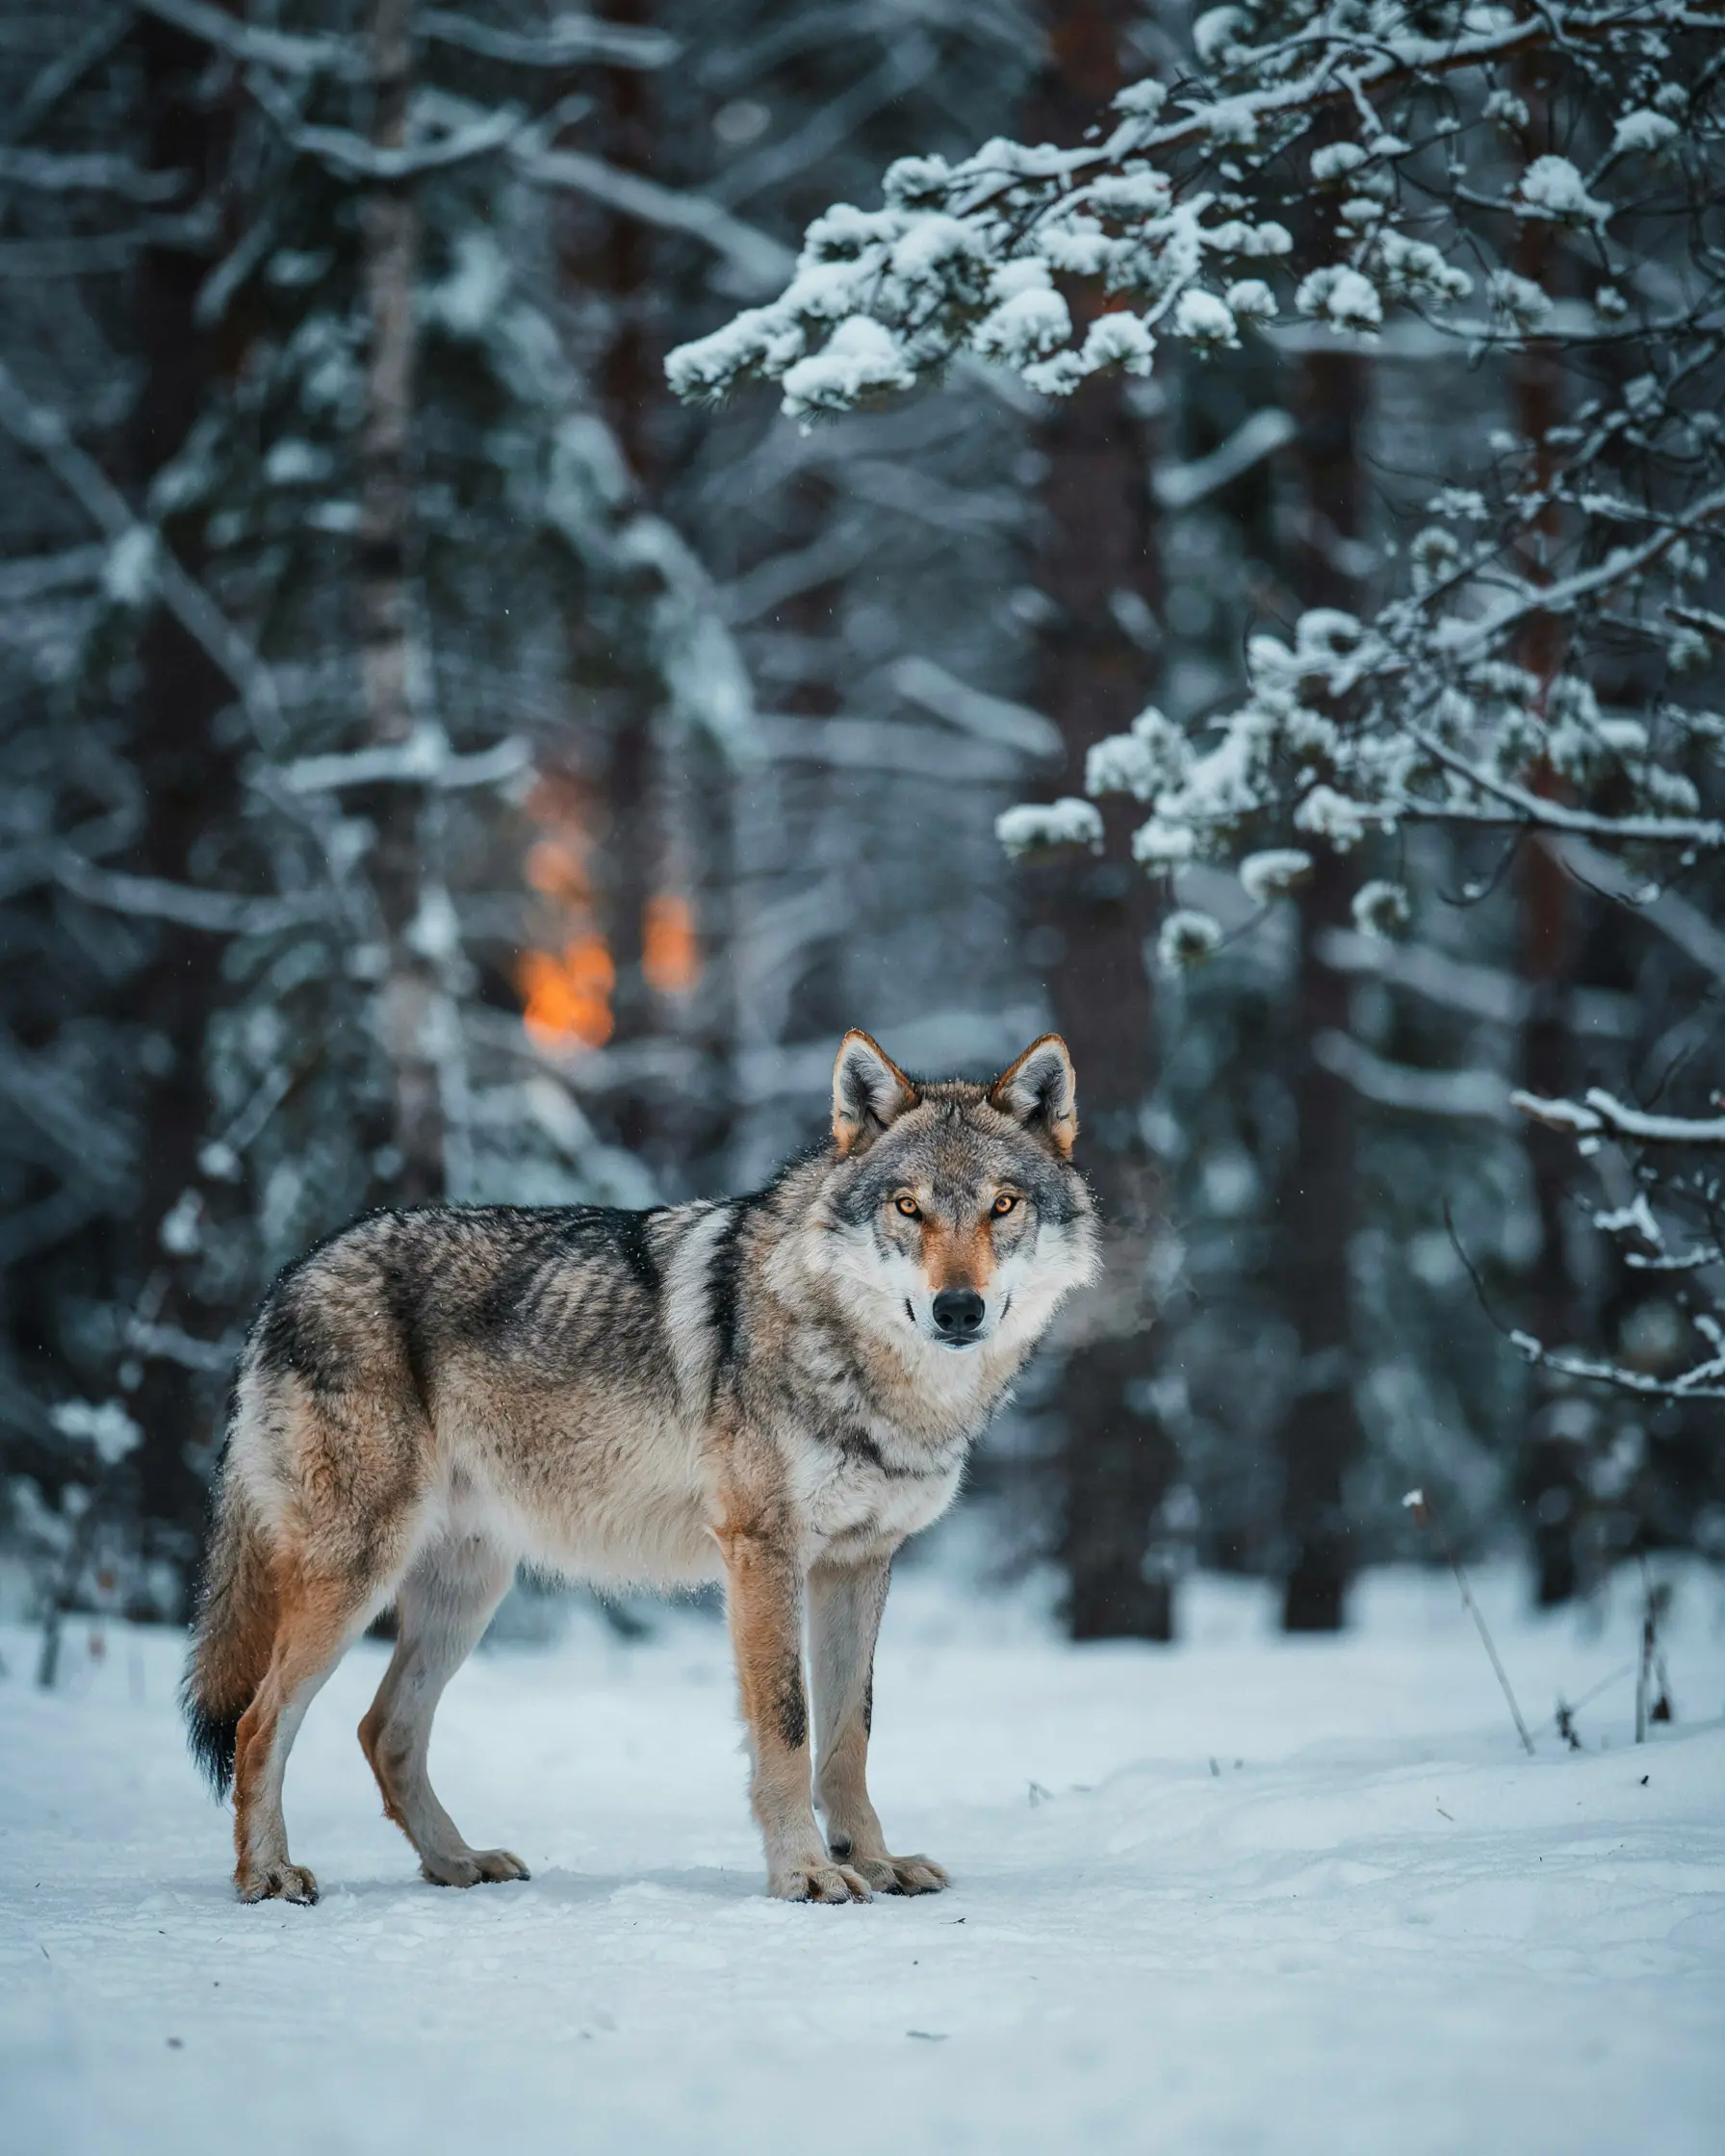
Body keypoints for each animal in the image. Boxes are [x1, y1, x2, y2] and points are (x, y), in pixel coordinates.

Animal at [182, 1029, 1097, 1905]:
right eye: (908, 1207)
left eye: (1003, 1205)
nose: (958, 1309)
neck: (880, 1379)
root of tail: (288, 1278)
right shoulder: (762, 1552)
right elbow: (788, 1728)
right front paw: (806, 1874)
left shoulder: (860, 1562)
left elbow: (849, 1736)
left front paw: (874, 1863)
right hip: (356, 1575)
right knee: (258, 1723)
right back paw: (268, 1876)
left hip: (466, 1592)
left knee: (384, 1731)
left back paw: (458, 1862)